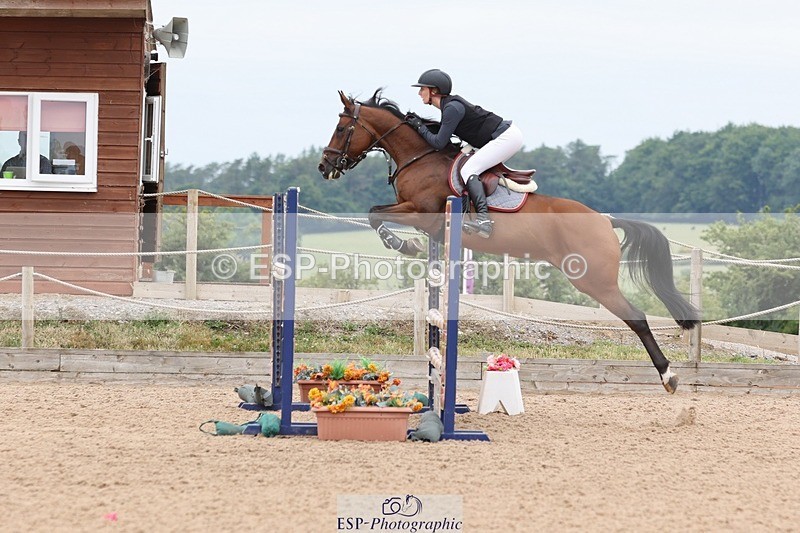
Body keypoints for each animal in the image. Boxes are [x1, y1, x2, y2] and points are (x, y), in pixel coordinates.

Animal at [318, 89, 700, 393]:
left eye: (342, 128)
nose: (325, 167)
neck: (420, 157)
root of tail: (605, 220)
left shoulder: (421, 212)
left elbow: (374, 214)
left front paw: (404, 245)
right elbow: (378, 215)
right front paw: (411, 248)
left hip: (594, 280)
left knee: (637, 318)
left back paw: (669, 376)